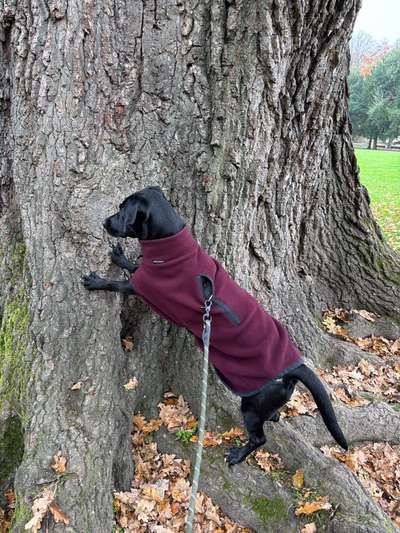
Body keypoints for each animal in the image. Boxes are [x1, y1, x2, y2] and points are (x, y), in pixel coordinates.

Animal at [82, 186, 346, 462]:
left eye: (123, 210)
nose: (105, 222)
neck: (171, 250)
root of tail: (296, 368)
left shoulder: (142, 287)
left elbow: (119, 283)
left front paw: (97, 281)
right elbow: (135, 266)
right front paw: (121, 257)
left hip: (251, 406)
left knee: (259, 438)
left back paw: (238, 455)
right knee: (274, 415)